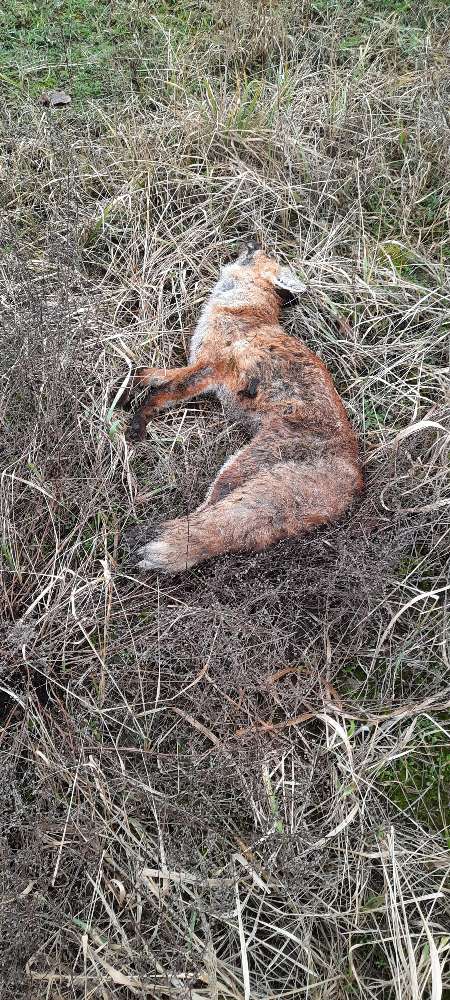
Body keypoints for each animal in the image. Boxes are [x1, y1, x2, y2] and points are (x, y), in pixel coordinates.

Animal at [119, 241, 363, 573]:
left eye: (266, 255)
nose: (253, 241)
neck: (239, 310)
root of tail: (354, 478)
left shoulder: (209, 369)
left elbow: (162, 393)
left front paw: (137, 422)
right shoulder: (198, 366)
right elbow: (149, 374)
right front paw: (127, 390)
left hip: (236, 469)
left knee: (207, 513)